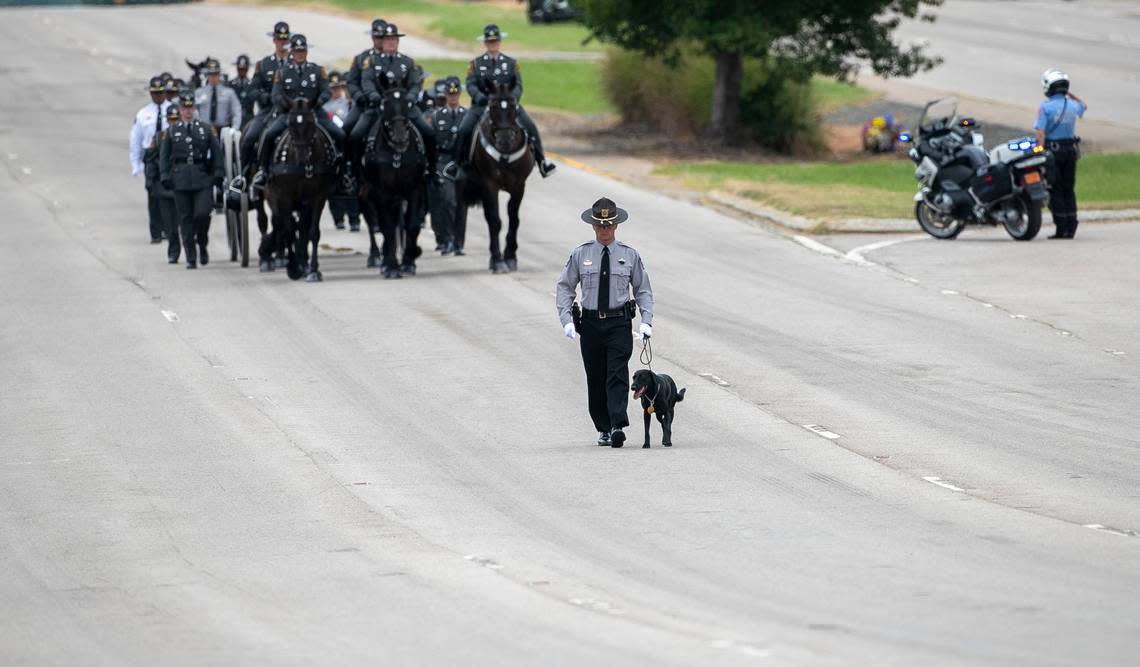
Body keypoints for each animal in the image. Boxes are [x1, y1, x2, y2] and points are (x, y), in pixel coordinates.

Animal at [264, 100, 335, 282]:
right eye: (290, 123)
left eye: (310, 123)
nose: (301, 157)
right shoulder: (284, 196)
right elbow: (289, 230)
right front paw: (293, 268)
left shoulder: (318, 197)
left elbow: (312, 232)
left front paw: (313, 270)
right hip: (273, 195)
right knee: (280, 223)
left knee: (301, 228)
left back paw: (303, 262)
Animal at [360, 86, 428, 278]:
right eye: (384, 104)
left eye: (409, 103)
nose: (400, 137)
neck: (396, 154)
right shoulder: (381, 192)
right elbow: (387, 227)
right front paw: (391, 266)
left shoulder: (415, 190)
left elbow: (411, 225)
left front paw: (408, 262)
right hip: (366, 191)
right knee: (372, 220)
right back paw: (376, 256)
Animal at [460, 81, 535, 273]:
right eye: (492, 106)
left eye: (513, 106)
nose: (505, 140)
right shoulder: (490, 185)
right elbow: (495, 221)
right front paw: (498, 261)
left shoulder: (519, 186)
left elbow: (514, 219)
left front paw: (510, 257)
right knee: (489, 218)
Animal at [556, 197, 656, 446]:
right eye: (600, 225)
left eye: (609, 225)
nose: (605, 231)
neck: (605, 248)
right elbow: (565, 286)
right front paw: (569, 326)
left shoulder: (618, 342)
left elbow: (642, 288)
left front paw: (618, 427)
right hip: (592, 351)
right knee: (595, 380)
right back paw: (604, 432)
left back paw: (614, 432)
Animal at [1035, 67, 1085, 238]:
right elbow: (1082, 105)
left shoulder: (1042, 112)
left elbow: (1041, 132)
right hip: (1069, 167)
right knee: (1069, 193)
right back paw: (1070, 231)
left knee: (1056, 194)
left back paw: (1059, 232)